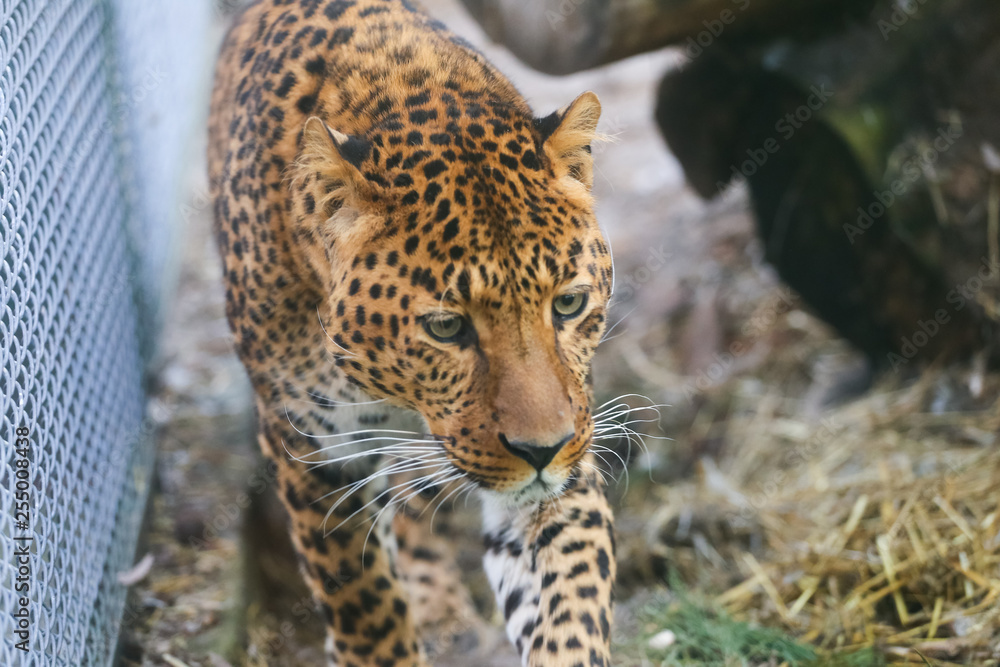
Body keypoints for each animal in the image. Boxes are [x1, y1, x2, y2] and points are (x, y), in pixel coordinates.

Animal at [207, 1, 618, 665]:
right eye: (446, 327)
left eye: (569, 303)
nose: (542, 451)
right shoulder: (315, 448)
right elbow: (365, 608)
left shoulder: (568, 441)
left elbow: (570, 598)